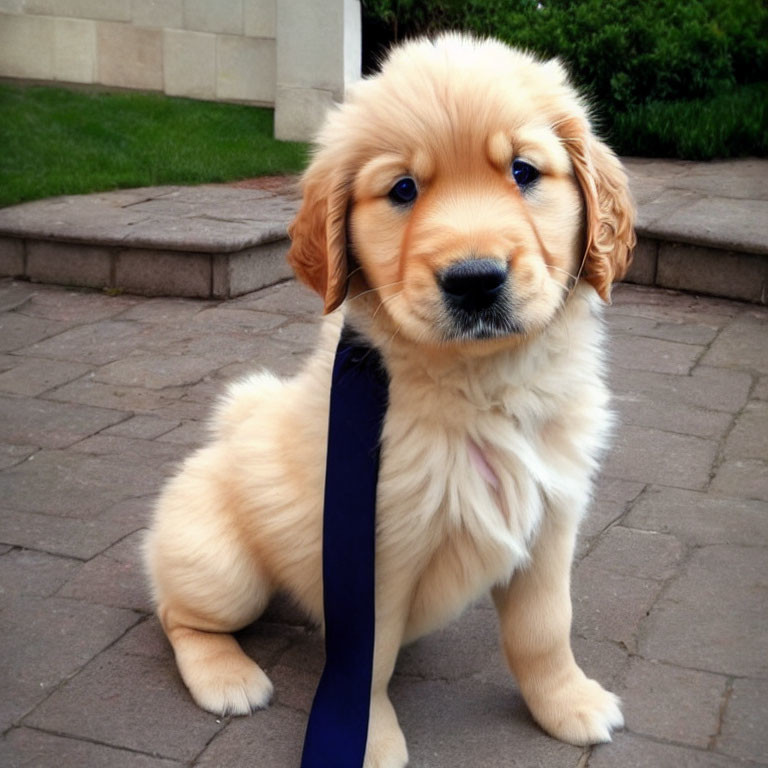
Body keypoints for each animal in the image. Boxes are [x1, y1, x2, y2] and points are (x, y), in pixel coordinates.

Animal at [146, 33, 636, 764]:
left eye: (523, 172)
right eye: (403, 189)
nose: (474, 280)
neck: (481, 383)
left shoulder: (551, 519)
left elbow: (545, 627)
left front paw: (566, 703)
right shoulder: (376, 550)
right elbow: (365, 658)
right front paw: (365, 740)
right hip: (221, 564)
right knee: (178, 612)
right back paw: (226, 675)